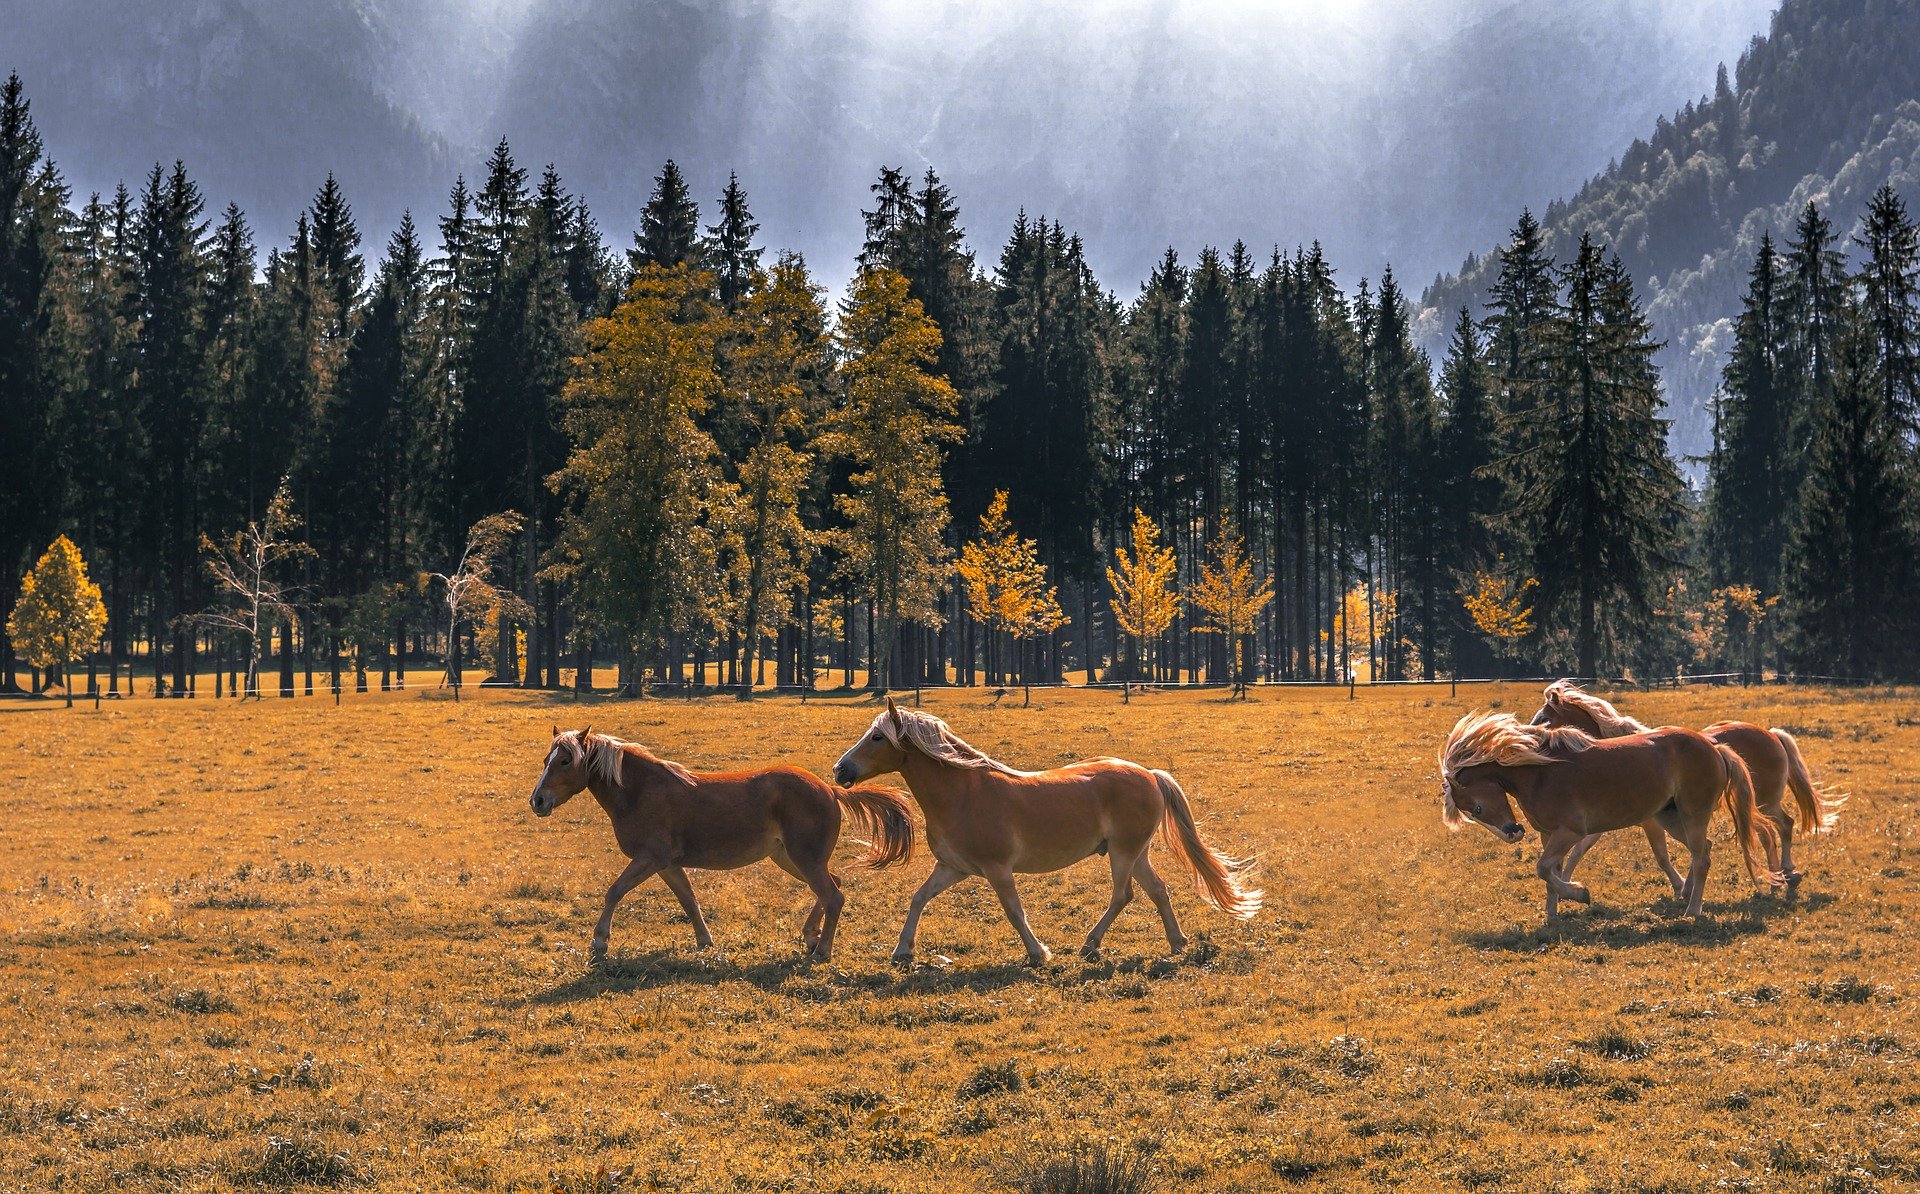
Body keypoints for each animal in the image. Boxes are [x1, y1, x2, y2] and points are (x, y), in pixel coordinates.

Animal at [527, 726, 916, 963]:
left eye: (566, 760)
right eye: (546, 760)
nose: (538, 801)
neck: (641, 791)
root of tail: (831, 790)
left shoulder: (650, 859)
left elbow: (614, 892)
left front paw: (599, 941)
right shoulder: (668, 864)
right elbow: (689, 900)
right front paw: (705, 941)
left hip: (804, 860)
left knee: (833, 896)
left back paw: (822, 950)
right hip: (790, 858)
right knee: (833, 886)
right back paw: (811, 937)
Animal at [830, 698, 1260, 966]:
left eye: (877, 737)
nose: (839, 769)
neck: (963, 793)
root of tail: (1150, 775)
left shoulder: (997, 870)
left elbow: (1014, 911)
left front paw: (1038, 953)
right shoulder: (954, 868)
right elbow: (919, 898)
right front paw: (902, 952)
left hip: (1123, 852)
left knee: (1123, 895)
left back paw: (1090, 945)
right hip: (1135, 852)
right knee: (1157, 891)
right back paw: (1176, 942)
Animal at [1439, 711, 1782, 920]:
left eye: (1478, 808)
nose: (1513, 832)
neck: (1539, 773)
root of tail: (1715, 747)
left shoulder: (1570, 832)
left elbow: (1544, 868)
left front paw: (1579, 893)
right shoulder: (1549, 834)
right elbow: (1550, 872)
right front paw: (1552, 915)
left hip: (1692, 814)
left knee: (1702, 859)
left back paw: (1693, 910)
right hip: (1670, 819)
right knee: (1704, 851)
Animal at [1530, 680, 1841, 885]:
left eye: (1544, 717)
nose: (1531, 739)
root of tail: (1771, 734)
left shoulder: (1650, 821)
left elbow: (1662, 855)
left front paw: (1681, 887)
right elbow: (1580, 848)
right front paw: (1566, 881)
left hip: (1766, 802)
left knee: (1784, 826)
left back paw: (1787, 871)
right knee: (1768, 834)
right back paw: (1778, 874)